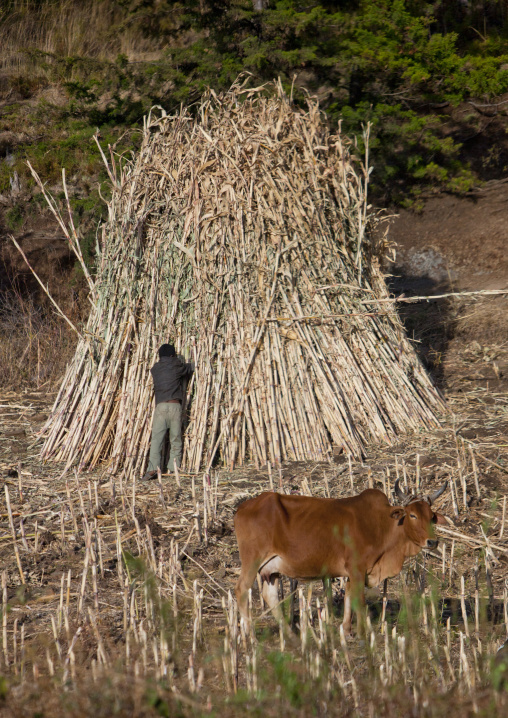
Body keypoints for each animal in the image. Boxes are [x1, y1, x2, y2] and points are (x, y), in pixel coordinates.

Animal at [234, 480, 447, 634]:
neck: (382, 525)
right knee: (242, 590)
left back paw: (289, 634)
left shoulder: (353, 573)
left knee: (269, 596)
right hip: (252, 560)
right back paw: (249, 635)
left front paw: (346, 629)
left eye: (431, 516)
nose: (432, 542)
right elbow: (360, 602)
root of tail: (243, 507)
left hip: (271, 569)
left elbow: (348, 598)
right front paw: (363, 633)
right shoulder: (357, 568)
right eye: (412, 515)